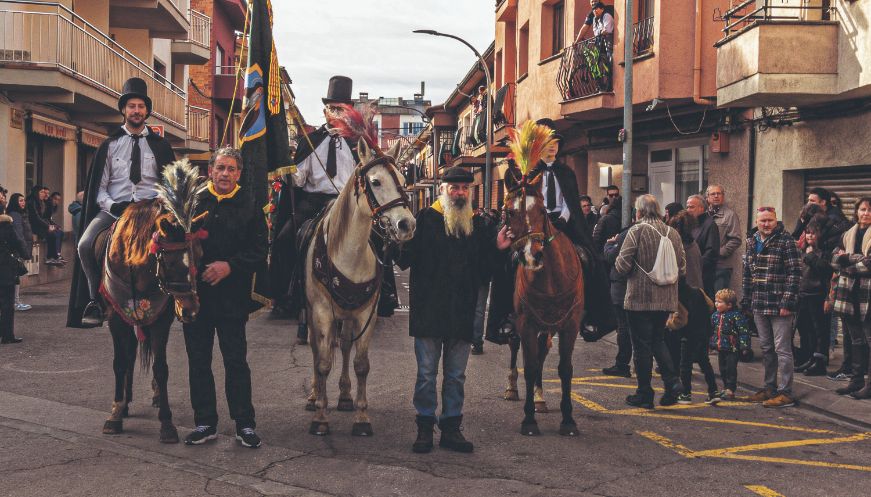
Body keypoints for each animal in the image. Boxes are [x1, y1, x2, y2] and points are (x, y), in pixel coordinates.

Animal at [100, 161, 206, 444]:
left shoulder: (160, 319)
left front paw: (166, 423)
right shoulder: (116, 317)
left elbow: (161, 367)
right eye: (169, 262)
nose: (190, 310)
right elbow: (119, 362)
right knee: (128, 356)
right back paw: (125, 402)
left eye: (199, 255)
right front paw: (115, 414)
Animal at [304, 140, 418, 434]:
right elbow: (322, 362)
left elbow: (361, 364)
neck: (348, 255)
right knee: (316, 348)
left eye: (403, 180)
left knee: (344, 346)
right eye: (375, 181)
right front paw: (320, 417)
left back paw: (345, 396)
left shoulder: (367, 314)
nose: (407, 225)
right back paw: (314, 395)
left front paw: (362, 418)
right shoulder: (322, 312)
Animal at [500, 170, 584, 434]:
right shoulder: (526, 322)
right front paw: (528, 420)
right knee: (515, 345)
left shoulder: (570, 325)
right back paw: (512, 388)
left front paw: (568, 420)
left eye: (542, 210)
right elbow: (529, 366)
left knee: (542, 351)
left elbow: (564, 369)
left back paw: (539, 398)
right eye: (510, 212)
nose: (532, 255)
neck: (552, 279)